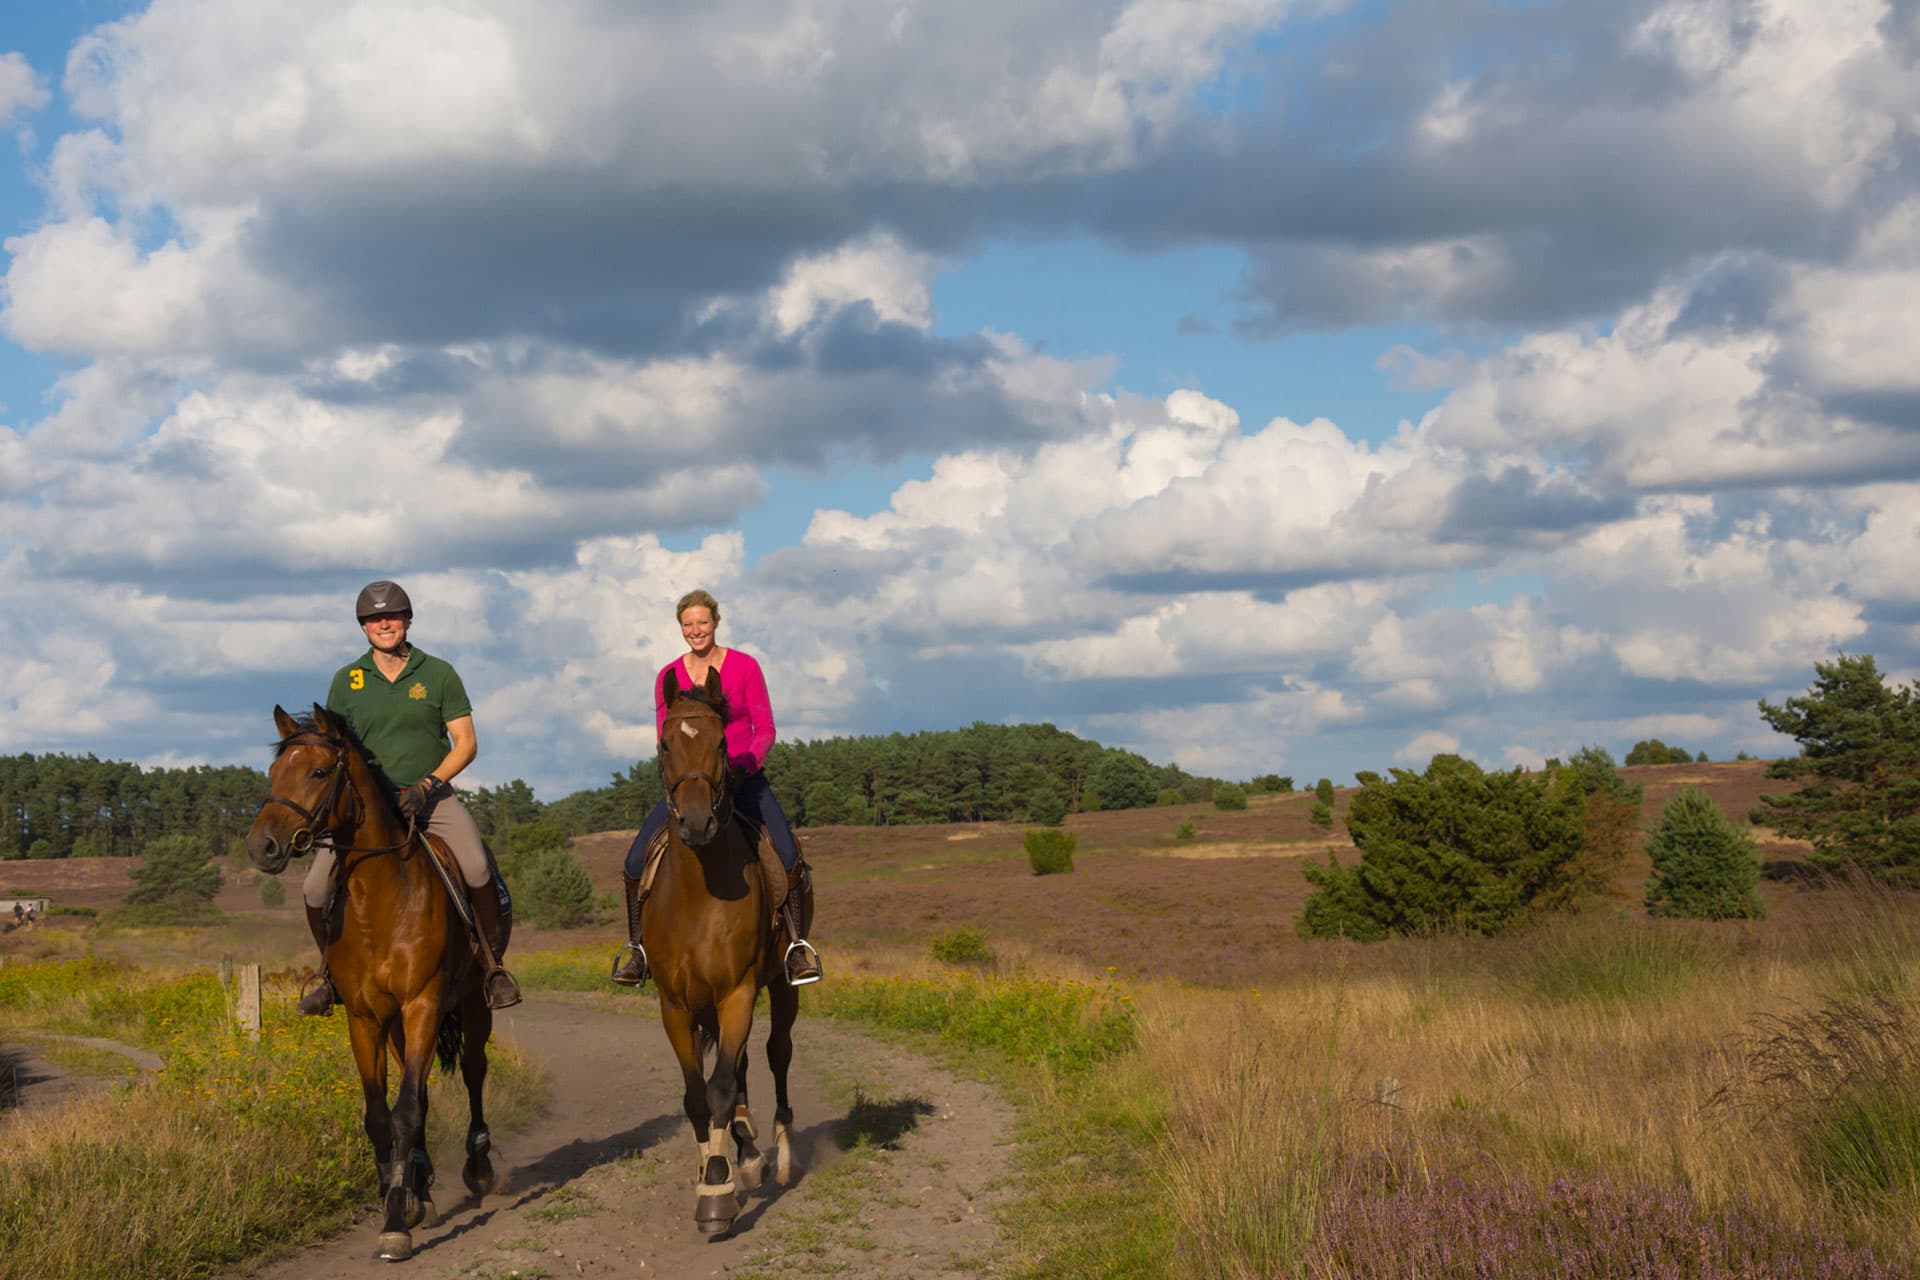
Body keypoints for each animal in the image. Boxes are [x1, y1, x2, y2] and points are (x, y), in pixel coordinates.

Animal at [243, 706, 506, 1266]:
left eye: (319, 771)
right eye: (274, 773)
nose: (262, 846)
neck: (380, 899)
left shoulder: (422, 1003)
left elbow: (406, 1111)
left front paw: (395, 1225)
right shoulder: (365, 1017)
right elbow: (382, 1116)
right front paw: (400, 1200)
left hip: (472, 1004)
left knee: (473, 1071)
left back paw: (477, 1168)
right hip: (398, 1025)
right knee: (421, 1086)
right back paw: (421, 1185)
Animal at [641, 671, 798, 1228]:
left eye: (724, 745)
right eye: (665, 744)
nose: (695, 824)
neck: (698, 895)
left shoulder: (738, 991)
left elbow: (723, 1086)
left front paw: (716, 1190)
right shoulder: (675, 1004)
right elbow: (696, 1095)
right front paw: (714, 1163)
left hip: (782, 986)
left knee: (775, 1053)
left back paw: (778, 1153)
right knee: (744, 1063)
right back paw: (744, 1152)